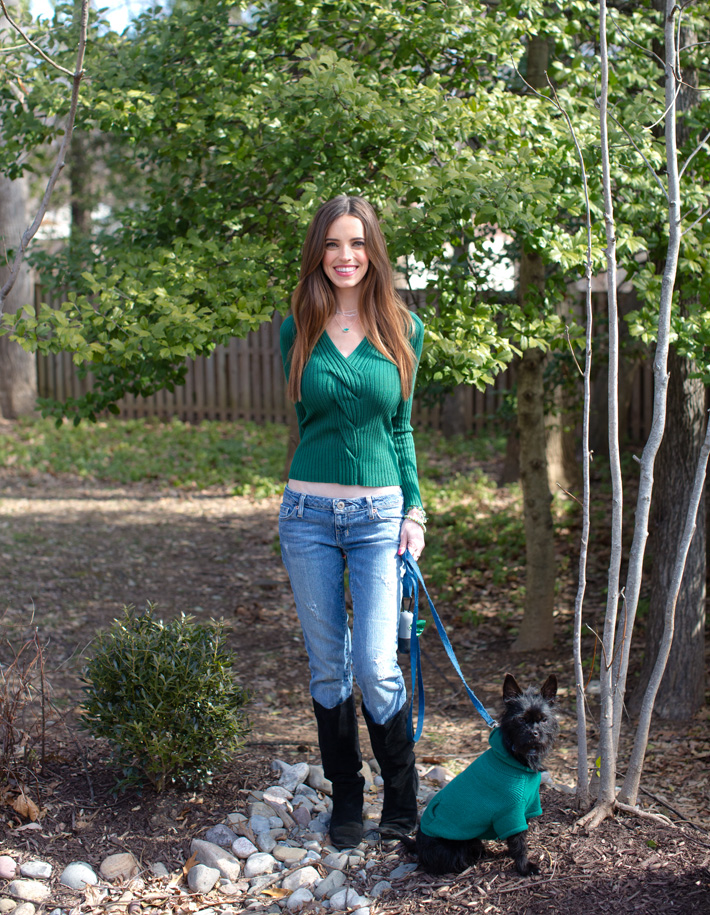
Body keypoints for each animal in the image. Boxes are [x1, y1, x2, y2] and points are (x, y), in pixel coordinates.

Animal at [404, 676, 560, 876]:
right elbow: (519, 842)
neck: (517, 757)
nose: (534, 733)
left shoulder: (526, 809)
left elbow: (517, 839)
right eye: (521, 720)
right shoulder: (511, 813)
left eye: (544, 720)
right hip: (457, 847)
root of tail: (418, 845)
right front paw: (524, 867)